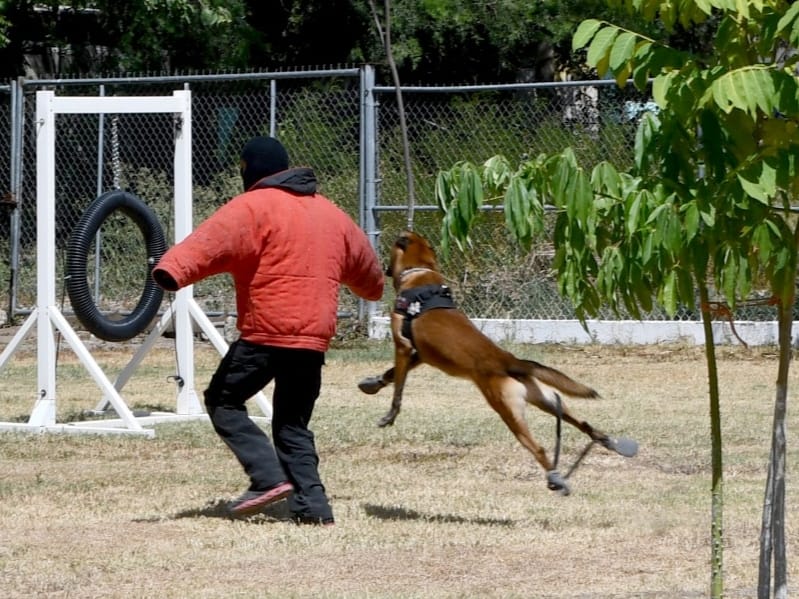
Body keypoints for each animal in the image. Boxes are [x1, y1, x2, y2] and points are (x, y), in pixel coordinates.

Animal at [360, 227, 636, 494]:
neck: (419, 274)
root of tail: (511, 361)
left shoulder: (404, 348)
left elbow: (398, 388)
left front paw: (390, 415)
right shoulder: (422, 355)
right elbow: (391, 374)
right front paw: (373, 383)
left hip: (508, 410)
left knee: (539, 448)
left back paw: (555, 478)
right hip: (546, 400)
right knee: (584, 424)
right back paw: (611, 443)